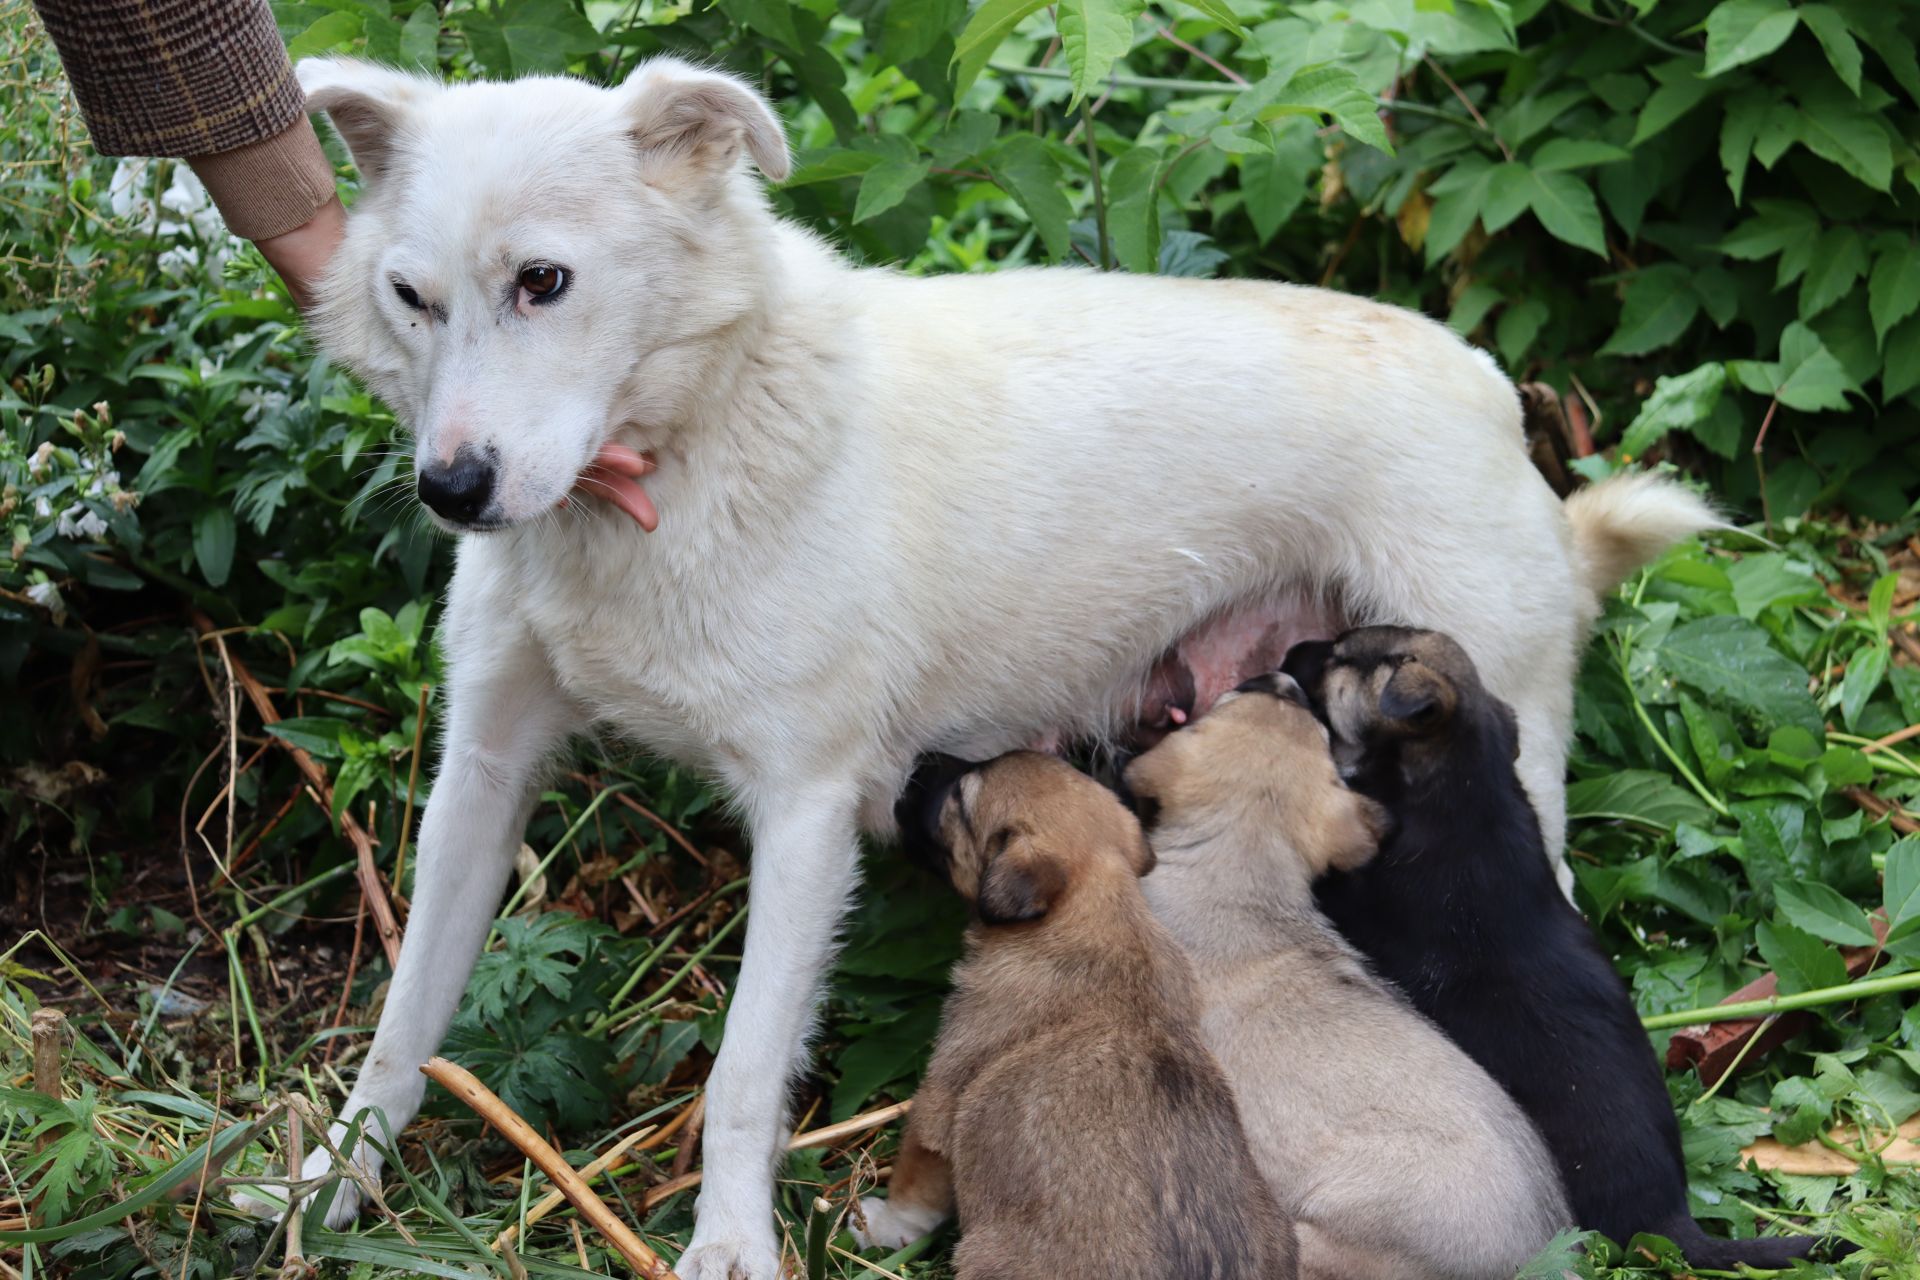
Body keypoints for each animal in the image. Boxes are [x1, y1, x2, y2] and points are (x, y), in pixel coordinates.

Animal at [860, 752, 1297, 1280]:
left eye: (959, 797)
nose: (923, 758)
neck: (1099, 913)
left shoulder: (939, 1103)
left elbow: (914, 1190)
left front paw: (878, 1226)